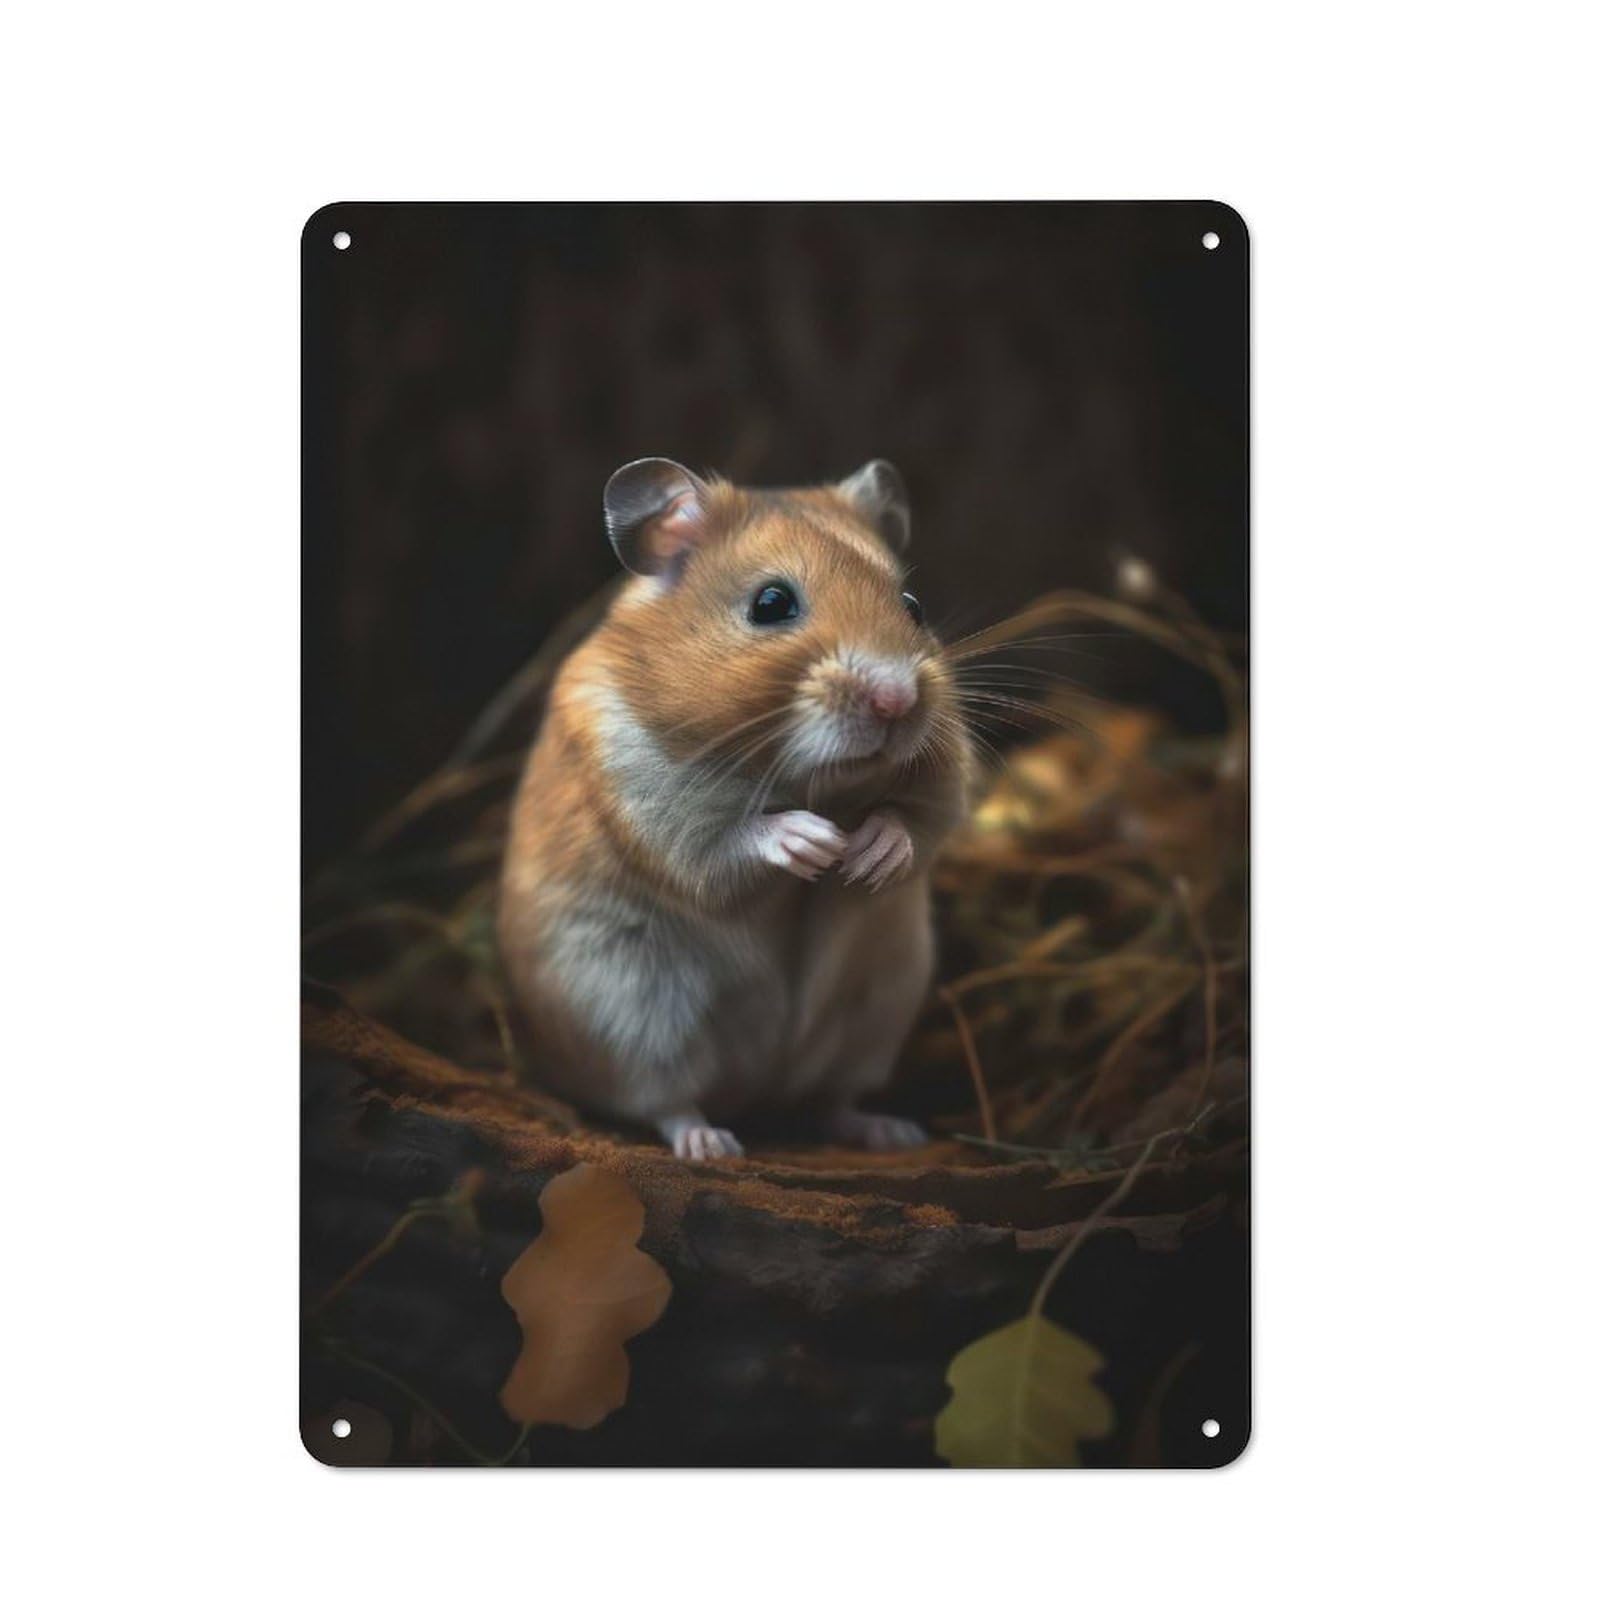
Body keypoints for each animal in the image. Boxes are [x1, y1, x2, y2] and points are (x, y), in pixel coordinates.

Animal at [498, 458, 973, 1160]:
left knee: (832, 1101)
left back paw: (892, 1132)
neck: (819, 782)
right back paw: (711, 1145)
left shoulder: (945, 772)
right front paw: (816, 843)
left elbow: (916, 821)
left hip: (876, 1010)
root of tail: (759, 1091)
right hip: (627, 1008)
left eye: (912, 606)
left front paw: (866, 855)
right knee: (665, 1099)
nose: (896, 699)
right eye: (770, 604)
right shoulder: (656, 803)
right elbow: (730, 837)